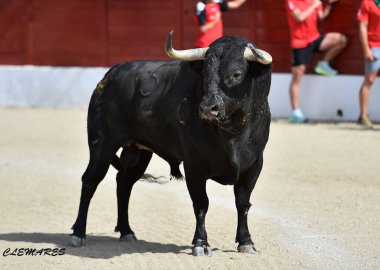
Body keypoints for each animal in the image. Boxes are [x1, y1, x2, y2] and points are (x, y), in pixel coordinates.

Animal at [70, 31, 274, 255]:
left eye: (237, 74)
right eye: (204, 75)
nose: (207, 107)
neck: (233, 135)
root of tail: (112, 73)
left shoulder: (254, 164)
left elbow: (243, 203)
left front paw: (246, 241)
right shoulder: (194, 165)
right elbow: (201, 203)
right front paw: (200, 243)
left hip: (138, 153)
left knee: (124, 183)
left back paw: (126, 231)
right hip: (102, 144)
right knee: (90, 181)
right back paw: (78, 234)